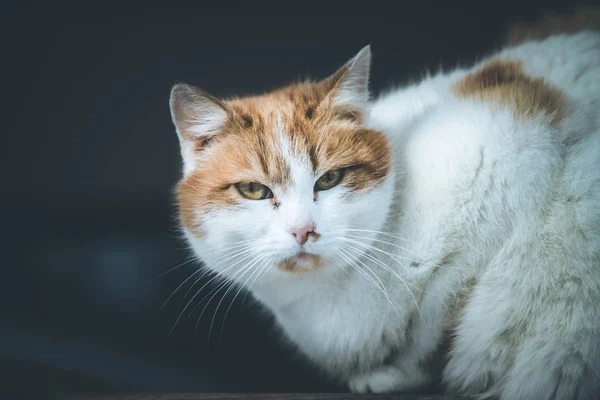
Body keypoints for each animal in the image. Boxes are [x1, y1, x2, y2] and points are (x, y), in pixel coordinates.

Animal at [168, 12, 600, 400]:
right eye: (254, 190)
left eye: (329, 180)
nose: (303, 230)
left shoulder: (509, 150)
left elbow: (437, 324)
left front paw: (398, 374)